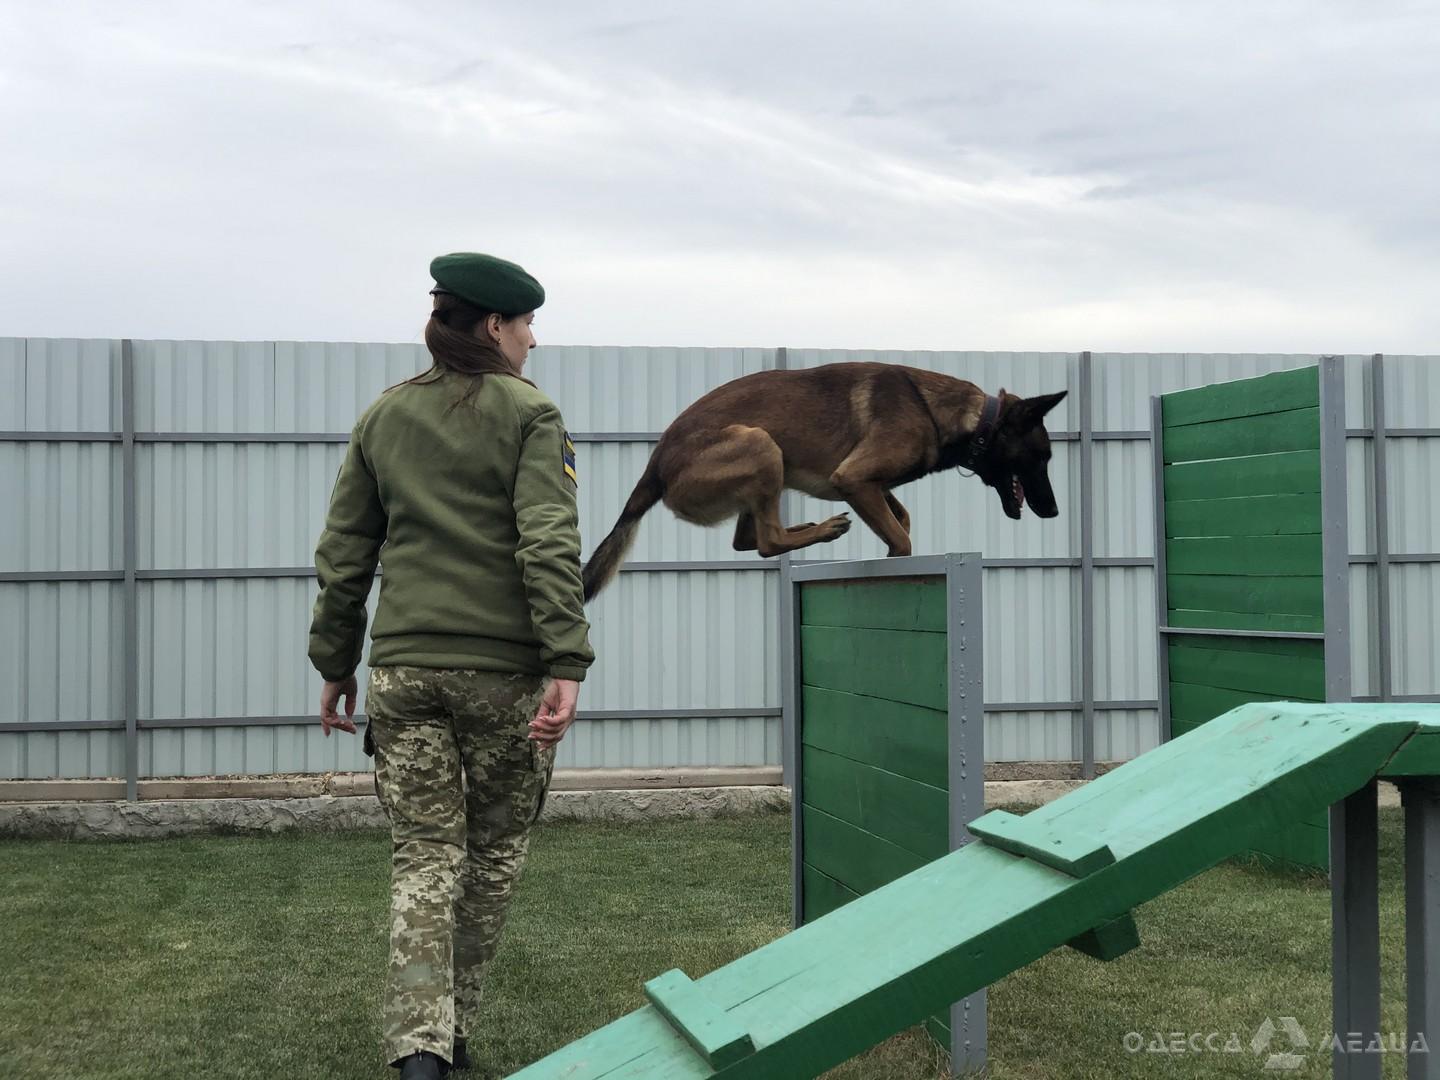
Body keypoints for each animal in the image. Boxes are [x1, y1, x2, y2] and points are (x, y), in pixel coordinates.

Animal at [578, 361, 1065, 601]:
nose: (1054, 510)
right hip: (760, 443)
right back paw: (823, 529)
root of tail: (655, 465)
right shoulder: (854, 476)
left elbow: (901, 516)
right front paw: (895, 555)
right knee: (766, 541)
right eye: (1042, 456)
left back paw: (808, 527)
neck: (967, 418)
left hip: (764, 466)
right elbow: (902, 537)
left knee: (747, 538)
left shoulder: (866, 482)